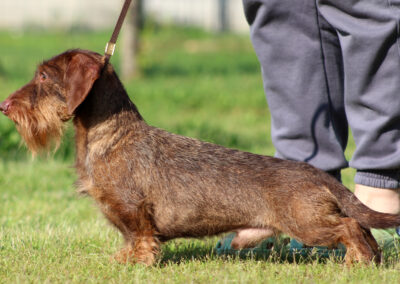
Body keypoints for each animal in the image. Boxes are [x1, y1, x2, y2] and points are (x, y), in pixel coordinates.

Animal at [1, 50, 398, 266]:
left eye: (43, 76)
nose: (5, 105)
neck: (112, 136)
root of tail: (316, 173)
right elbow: (130, 239)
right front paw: (125, 259)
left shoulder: (132, 209)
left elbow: (140, 236)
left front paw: (137, 263)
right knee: (361, 225)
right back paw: (370, 259)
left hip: (307, 224)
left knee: (350, 227)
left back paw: (356, 260)